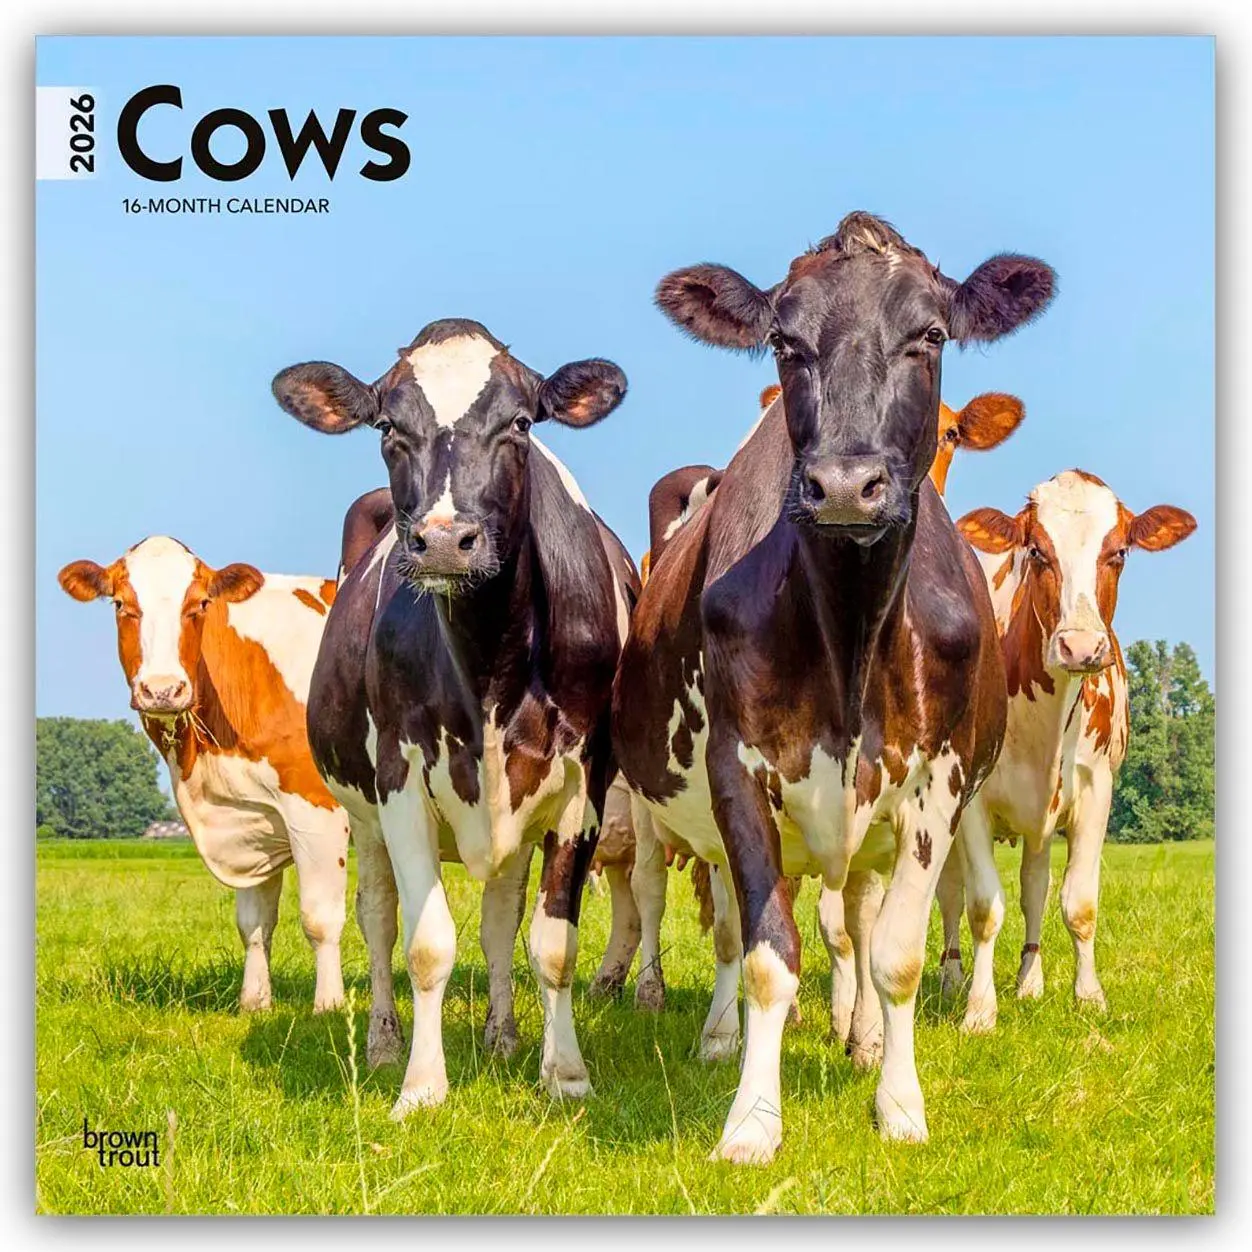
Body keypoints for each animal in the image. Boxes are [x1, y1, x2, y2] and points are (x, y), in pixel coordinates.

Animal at [57, 538, 349, 1012]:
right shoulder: (252, 817)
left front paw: (329, 1007)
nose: (162, 689)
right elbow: (253, 923)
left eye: (199, 604)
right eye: (121, 604)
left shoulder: (317, 808)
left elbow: (319, 919)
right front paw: (254, 1001)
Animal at [271, 318, 633, 1117]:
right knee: (377, 918)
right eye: (386, 426)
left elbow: (550, 944)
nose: (441, 540)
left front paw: (565, 1074)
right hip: (364, 813)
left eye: (521, 423)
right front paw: (421, 1086)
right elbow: (426, 943)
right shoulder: (401, 779)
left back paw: (502, 1037)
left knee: (500, 917)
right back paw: (382, 1044)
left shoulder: (581, 784)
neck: (491, 659)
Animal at [613, 210, 1055, 1162]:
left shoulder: (937, 783)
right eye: (784, 340)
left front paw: (900, 1106)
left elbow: (895, 953)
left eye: (931, 335)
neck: (851, 634)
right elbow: (767, 954)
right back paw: (720, 1035)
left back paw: (864, 1040)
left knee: (857, 913)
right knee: (730, 925)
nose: (846, 486)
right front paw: (750, 1121)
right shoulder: (739, 772)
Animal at [937, 470, 1196, 1031]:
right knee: (949, 893)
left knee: (1034, 885)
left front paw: (1089, 997)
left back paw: (1029, 980)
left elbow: (1077, 901)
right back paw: (950, 977)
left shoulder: (1097, 788)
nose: (1080, 647)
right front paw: (979, 1011)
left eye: (1119, 552)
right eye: (1036, 551)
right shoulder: (972, 798)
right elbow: (983, 906)